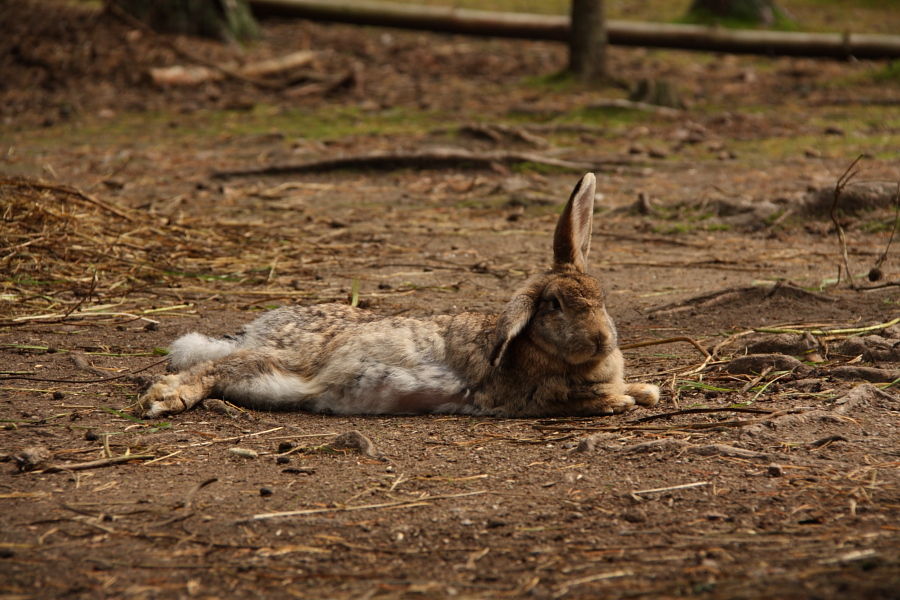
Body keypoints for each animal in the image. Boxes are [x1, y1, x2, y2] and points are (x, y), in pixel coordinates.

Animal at [139, 172, 660, 418]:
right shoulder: (535, 397)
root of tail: (256, 331)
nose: (601, 341)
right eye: (554, 305)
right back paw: (165, 398)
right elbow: (586, 398)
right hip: (281, 359)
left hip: (277, 382)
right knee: (210, 368)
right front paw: (621, 401)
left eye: (602, 297)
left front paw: (644, 390)